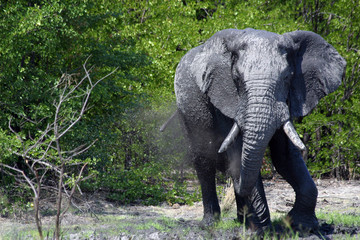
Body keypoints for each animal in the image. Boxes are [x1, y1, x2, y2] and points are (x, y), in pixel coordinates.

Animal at [174, 28, 346, 232]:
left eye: (287, 78)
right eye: (237, 79)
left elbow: (285, 156)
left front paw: (302, 226)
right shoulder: (225, 99)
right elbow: (239, 151)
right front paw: (262, 230)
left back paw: (240, 219)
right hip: (186, 107)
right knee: (204, 160)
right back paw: (210, 223)